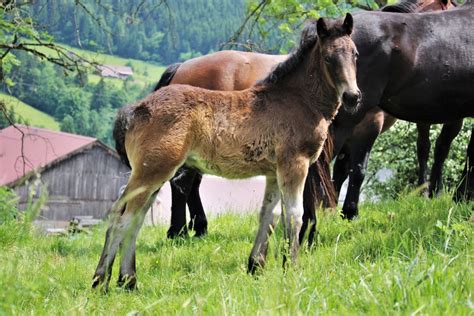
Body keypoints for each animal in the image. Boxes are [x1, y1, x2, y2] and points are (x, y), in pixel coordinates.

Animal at [92, 14, 360, 292]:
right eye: (328, 58)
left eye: (355, 54)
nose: (353, 97)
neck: (296, 100)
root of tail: (135, 109)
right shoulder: (295, 164)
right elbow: (294, 216)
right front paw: (292, 270)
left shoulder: (273, 172)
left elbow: (269, 215)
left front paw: (255, 266)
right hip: (152, 172)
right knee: (123, 218)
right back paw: (102, 280)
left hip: (153, 174)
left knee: (132, 219)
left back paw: (126, 280)